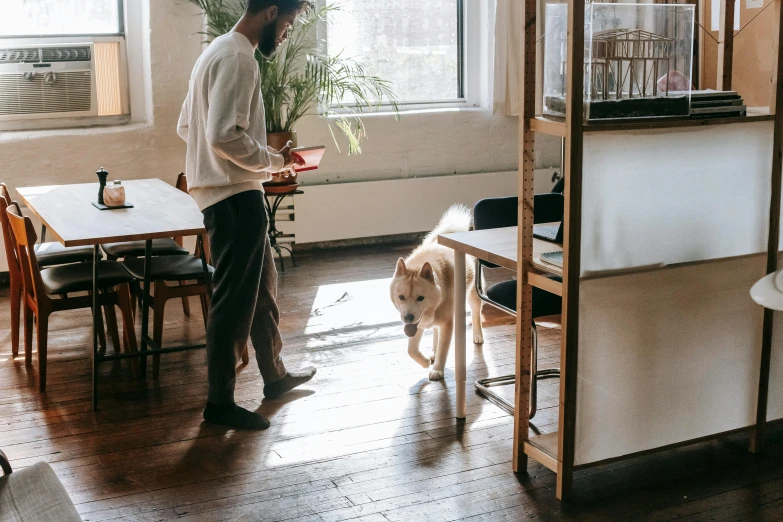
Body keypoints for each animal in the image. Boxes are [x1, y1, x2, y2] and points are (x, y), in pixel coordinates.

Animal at [390, 203, 484, 378]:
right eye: (401, 297)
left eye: (421, 298)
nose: (408, 317)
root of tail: (451, 234)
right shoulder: (417, 325)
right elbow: (411, 350)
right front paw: (425, 362)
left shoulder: (447, 323)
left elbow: (443, 349)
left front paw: (437, 370)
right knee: (435, 331)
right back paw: (432, 351)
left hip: (473, 295)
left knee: (476, 314)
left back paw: (478, 335)